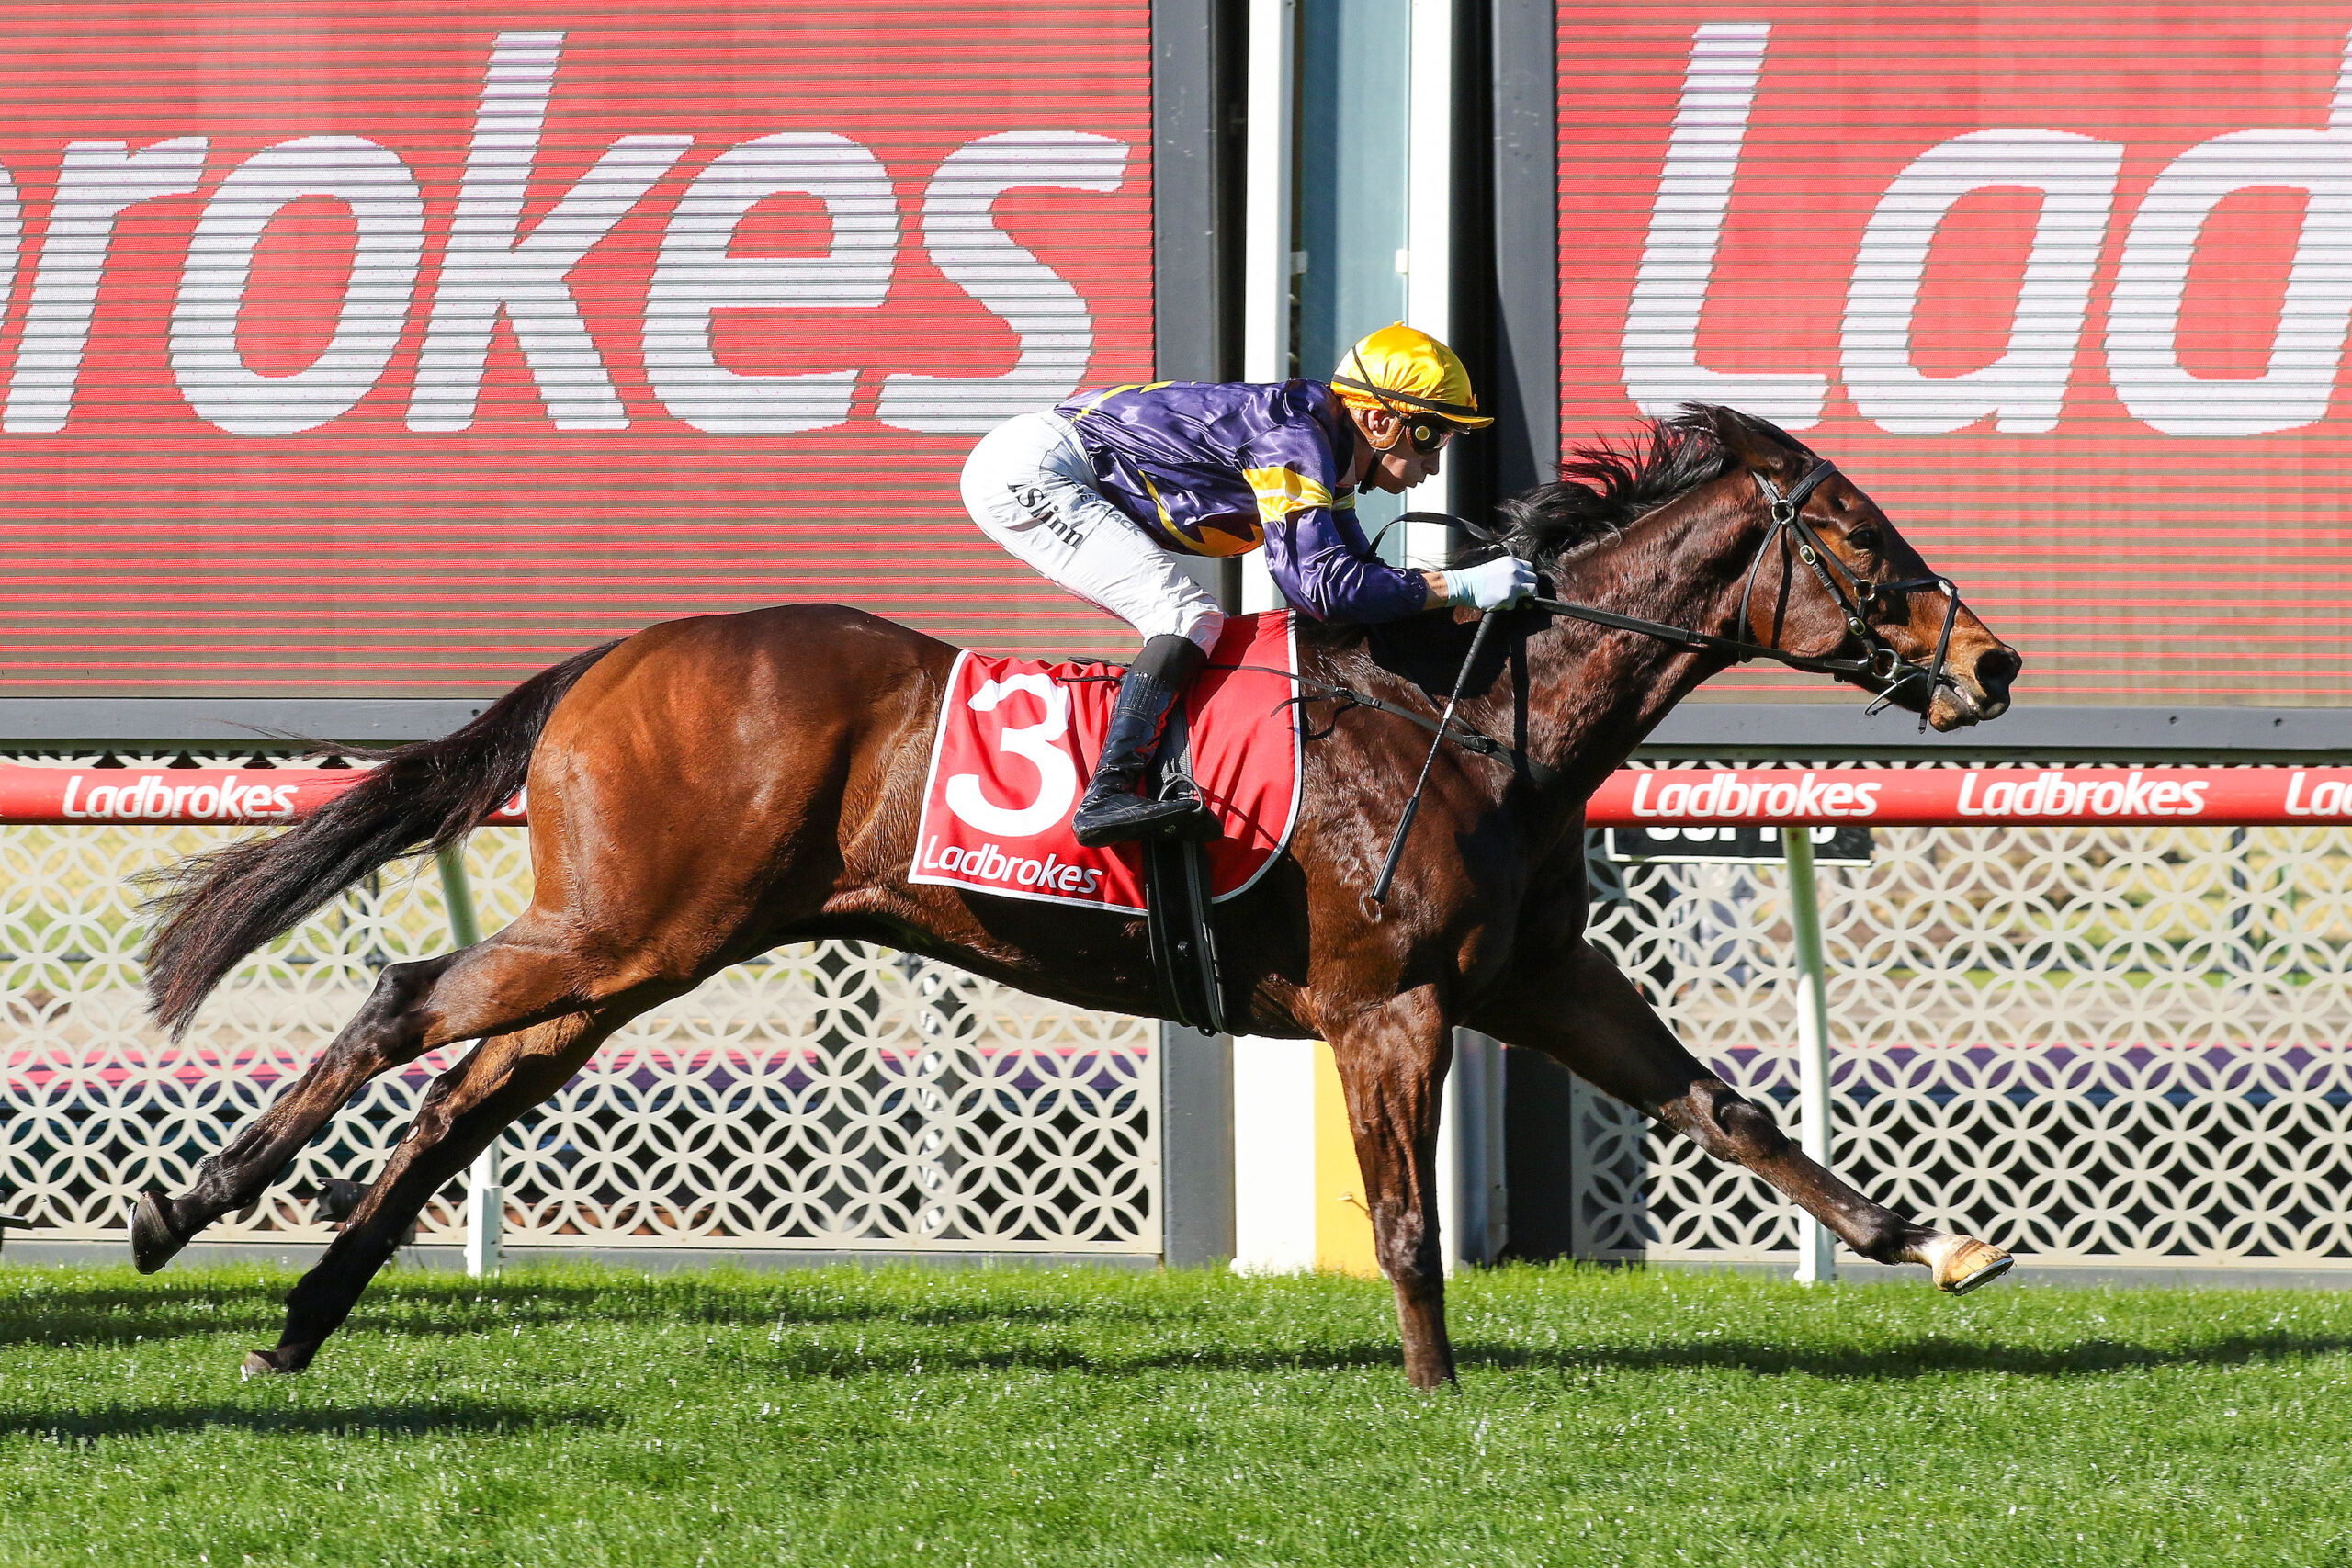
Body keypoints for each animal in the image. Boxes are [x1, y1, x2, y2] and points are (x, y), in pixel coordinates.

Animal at [132, 404, 2022, 1387]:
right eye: (1861, 536)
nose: (1992, 661)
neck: (1473, 706)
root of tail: (618, 652)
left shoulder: (1530, 980)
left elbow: (1728, 1109)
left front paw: (1932, 1240)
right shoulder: (1385, 999)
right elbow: (1406, 1218)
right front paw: (1435, 1394)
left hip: (639, 951)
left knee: (463, 1088)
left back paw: (297, 1321)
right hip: (630, 925)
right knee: (401, 1006)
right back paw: (180, 1213)